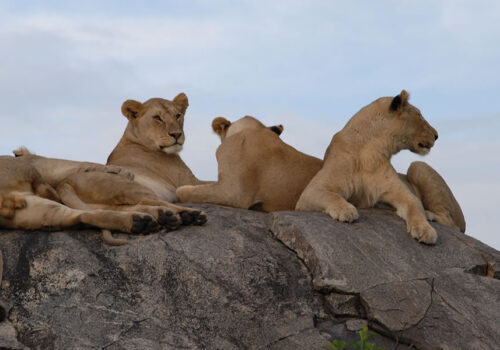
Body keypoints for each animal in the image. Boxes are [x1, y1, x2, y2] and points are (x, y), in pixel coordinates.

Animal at [296, 89, 464, 243]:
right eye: (420, 116)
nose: (436, 135)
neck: (370, 151)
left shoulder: (399, 192)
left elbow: (415, 204)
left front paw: (424, 229)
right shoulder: (311, 192)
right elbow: (330, 195)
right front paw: (346, 210)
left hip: (418, 165)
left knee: (453, 224)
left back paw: (429, 214)